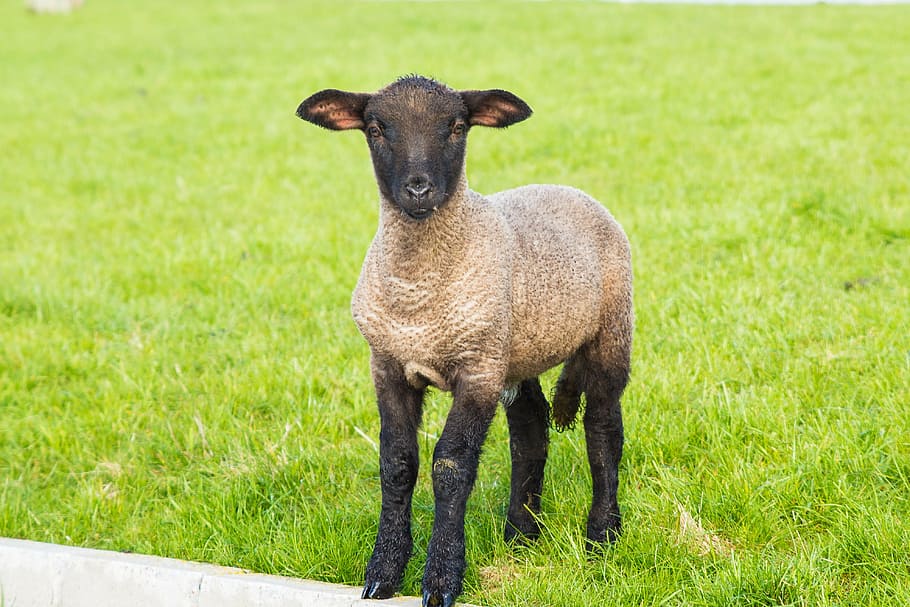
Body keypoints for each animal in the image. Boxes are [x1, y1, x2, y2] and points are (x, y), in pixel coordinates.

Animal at [296, 75, 633, 607]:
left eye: (456, 126)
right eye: (375, 128)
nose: (418, 188)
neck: (419, 295)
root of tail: (566, 188)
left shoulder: (477, 372)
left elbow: (451, 466)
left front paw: (441, 580)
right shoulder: (388, 364)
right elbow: (397, 463)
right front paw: (383, 574)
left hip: (610, 332)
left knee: (603, 430)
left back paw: (601, 536)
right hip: (516, 351)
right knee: (531, 431)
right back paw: (521, 534)